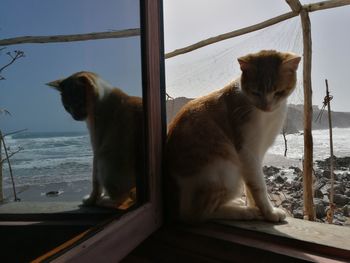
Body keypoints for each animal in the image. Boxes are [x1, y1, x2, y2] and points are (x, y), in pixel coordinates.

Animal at [47, 71, 144, 209]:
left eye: (79, 103)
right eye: (67, 107)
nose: (75, 117)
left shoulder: (96, 149)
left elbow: (95, 183)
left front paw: (90, 201)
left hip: (104, 158)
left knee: (121, 198)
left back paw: (105, 201)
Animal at [165, 50, 300, 224]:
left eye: (279, 92)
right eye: (255, 92)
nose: (266, 106)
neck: (267, 116)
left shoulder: (258, 152)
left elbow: (251, 184)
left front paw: (256, 206)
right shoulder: (247, 150)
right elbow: (259, 185)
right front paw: (268, 212)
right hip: (227, 170)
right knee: (197, 214)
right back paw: (244, 212)